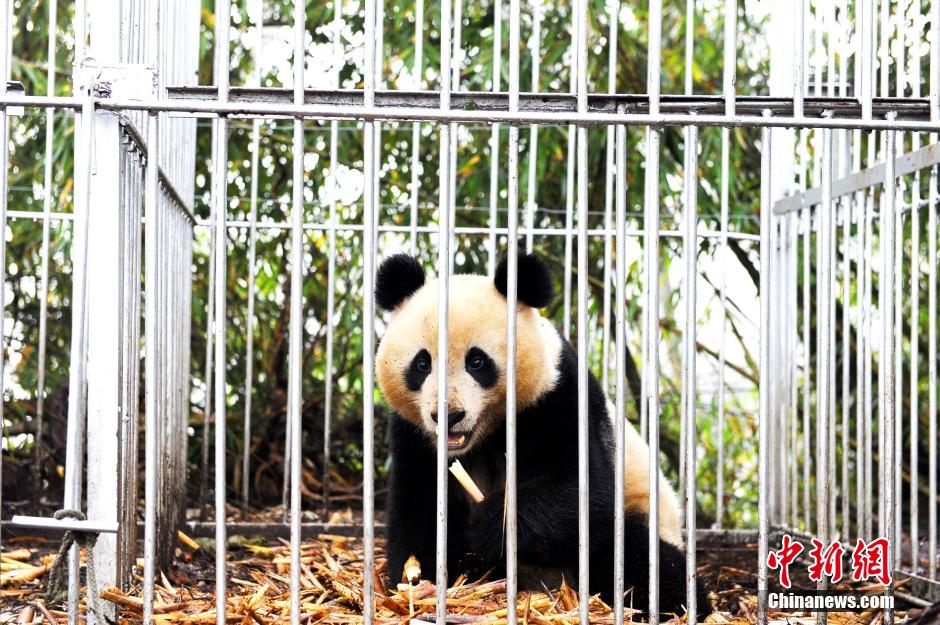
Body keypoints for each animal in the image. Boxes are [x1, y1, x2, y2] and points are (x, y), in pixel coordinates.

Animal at [375, 252, 706, 617]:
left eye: (477, 361)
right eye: (422, 364)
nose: (449, 416)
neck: (485, 436)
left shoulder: (559, 399)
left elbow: (584, 492)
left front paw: (495, 522)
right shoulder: (413, 434)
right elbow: (417, 505)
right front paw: (416, 578)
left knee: (645, 561)